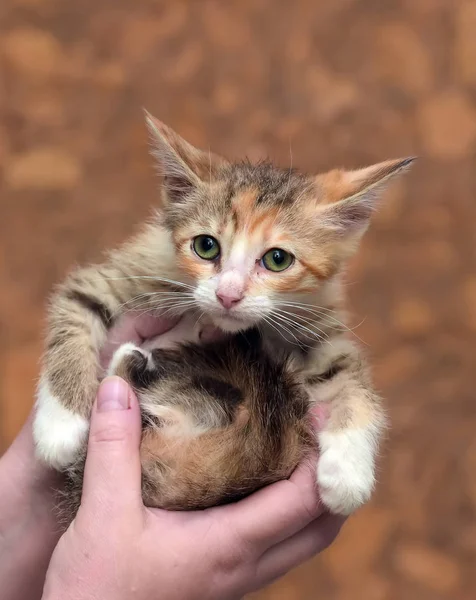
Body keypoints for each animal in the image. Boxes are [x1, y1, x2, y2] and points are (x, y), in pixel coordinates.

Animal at [33, 115, 412, 516]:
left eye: (278, 259)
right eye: (205, 246)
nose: (228, 295)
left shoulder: (316, 317)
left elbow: (348, 370)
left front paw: (349, 472)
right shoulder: (130, 269)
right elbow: (76, 307)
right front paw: (59, 425)